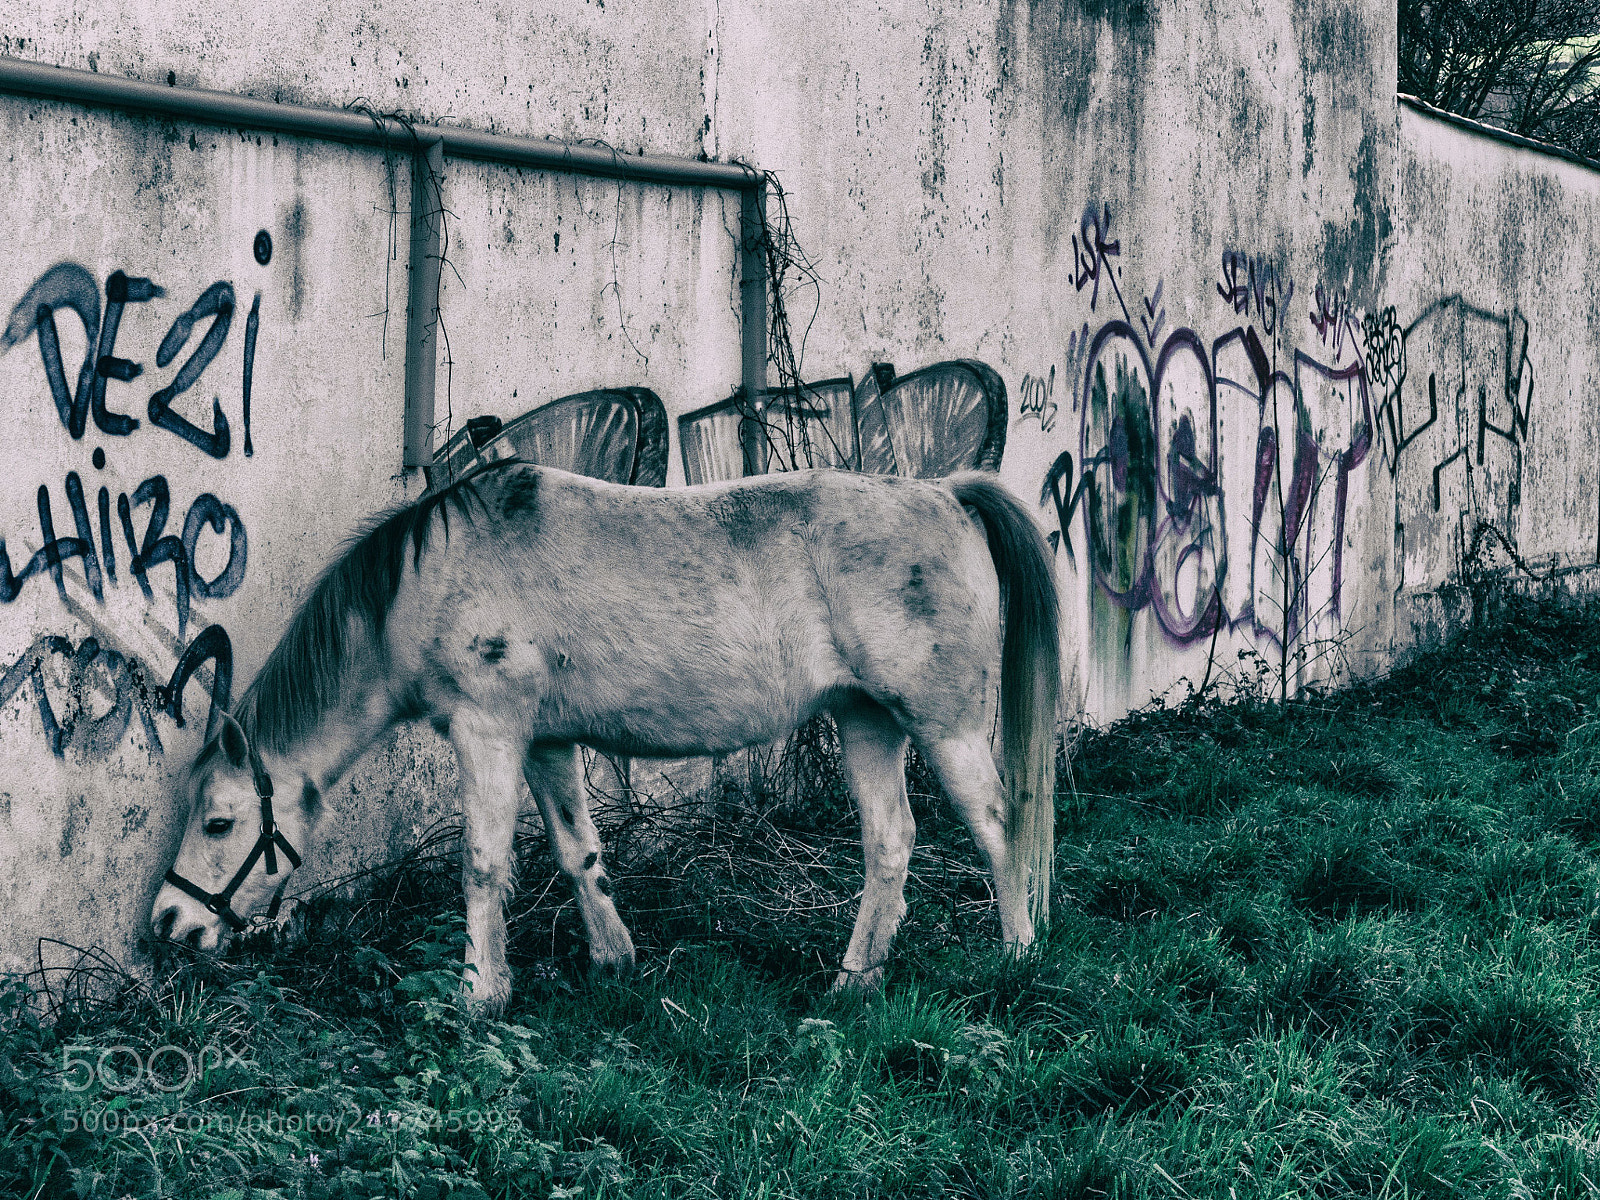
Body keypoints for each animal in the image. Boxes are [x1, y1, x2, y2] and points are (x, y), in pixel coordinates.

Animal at [150, 461, 1060, 1011]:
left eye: (219, 821)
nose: (168, 923)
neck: (429, 584)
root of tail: (946, 495)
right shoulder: (546, 742)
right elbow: (577, 849)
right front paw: (613, 959)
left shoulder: (488, 732)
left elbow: (482, 864)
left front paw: (480, 994)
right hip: (866, 719)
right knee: (891, 842)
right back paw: (852, 983)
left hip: (944, 726)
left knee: (998, 825)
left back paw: (1017, 958)